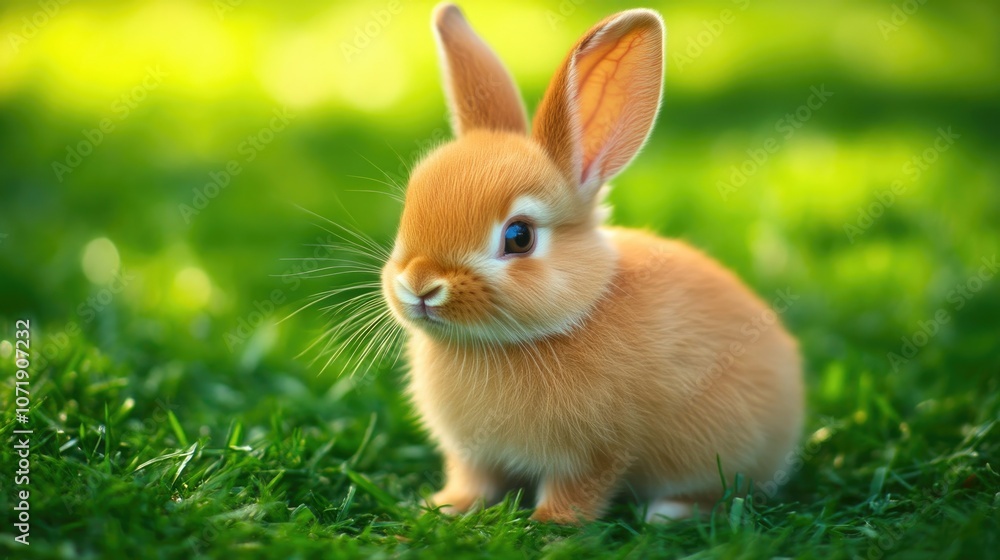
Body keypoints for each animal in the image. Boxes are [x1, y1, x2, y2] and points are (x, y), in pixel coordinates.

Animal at [379, 3, 804, 524]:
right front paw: (444, 506)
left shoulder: (594, 455)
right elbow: (474, 482)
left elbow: (577, 490)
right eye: (408, 210)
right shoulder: (473, 456)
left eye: (519, 237)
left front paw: (548, 524)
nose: (419, 284)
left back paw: (668, 512)